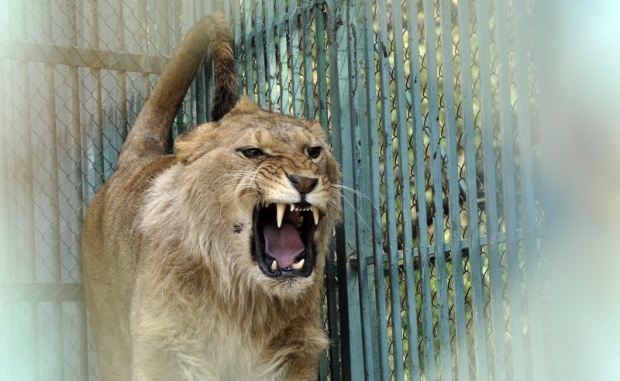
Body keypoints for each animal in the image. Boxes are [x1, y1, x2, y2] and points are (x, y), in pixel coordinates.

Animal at [80, 12, 342, 380]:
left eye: (314, 152)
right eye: (252, 152)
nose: (305, 182)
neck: (243, 299)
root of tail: (136, 161)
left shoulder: (295, 354)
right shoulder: (163, 347)